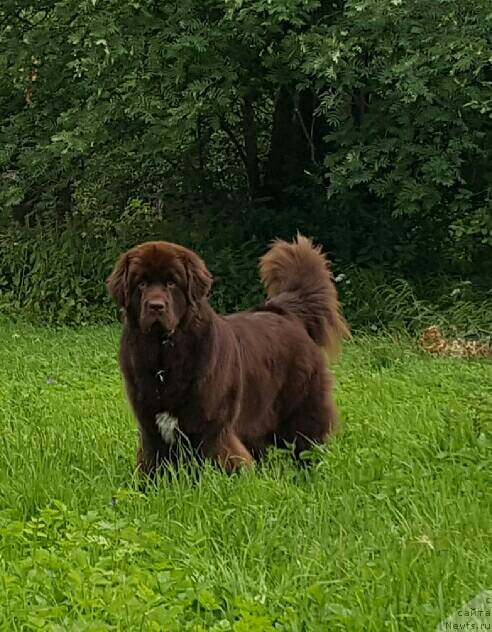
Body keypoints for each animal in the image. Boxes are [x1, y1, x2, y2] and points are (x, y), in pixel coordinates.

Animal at [107, 235, 348, 476]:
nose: (156, 306)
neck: (163, 356)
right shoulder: (151, 430)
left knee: (307, 446)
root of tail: (286, 311)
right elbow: (153, 464)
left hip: (301, 412)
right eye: (141, 284)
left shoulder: (213, 427)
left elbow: (221, 458)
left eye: (171, 283)